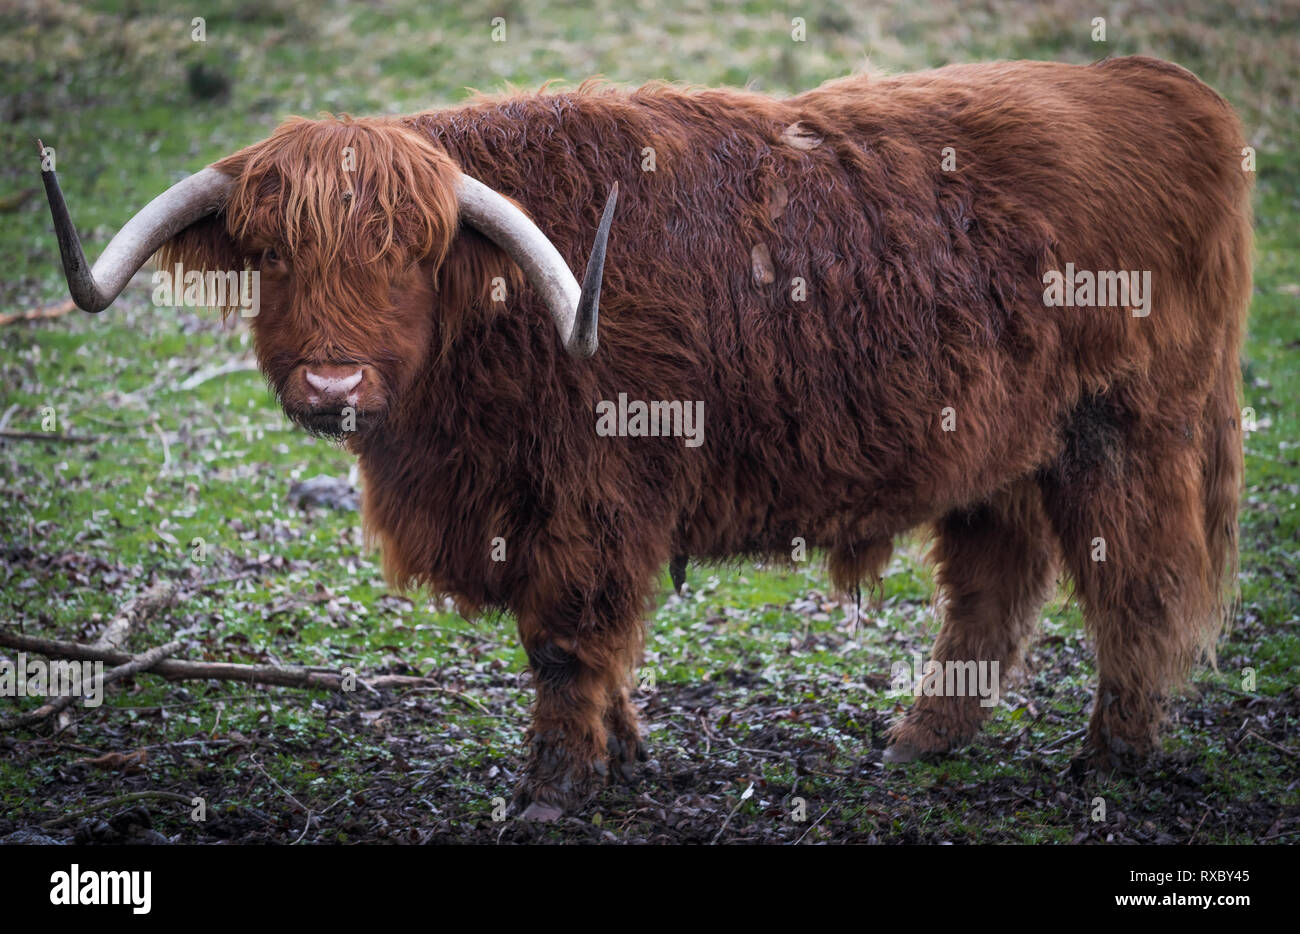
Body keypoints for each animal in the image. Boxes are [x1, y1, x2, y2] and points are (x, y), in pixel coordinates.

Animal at [40, 58, 1253, 822]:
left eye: (408, 253)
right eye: (273, 252)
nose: (332, 378)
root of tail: (1161, 86)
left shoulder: (592, 497)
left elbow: (565, 641)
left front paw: (552, 789)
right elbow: (586, 648)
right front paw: (620, 757)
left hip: (1126, 427)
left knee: (1138, 585)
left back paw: (1111, 756)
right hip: (995, 441)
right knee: (996, 583)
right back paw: (921, 740)